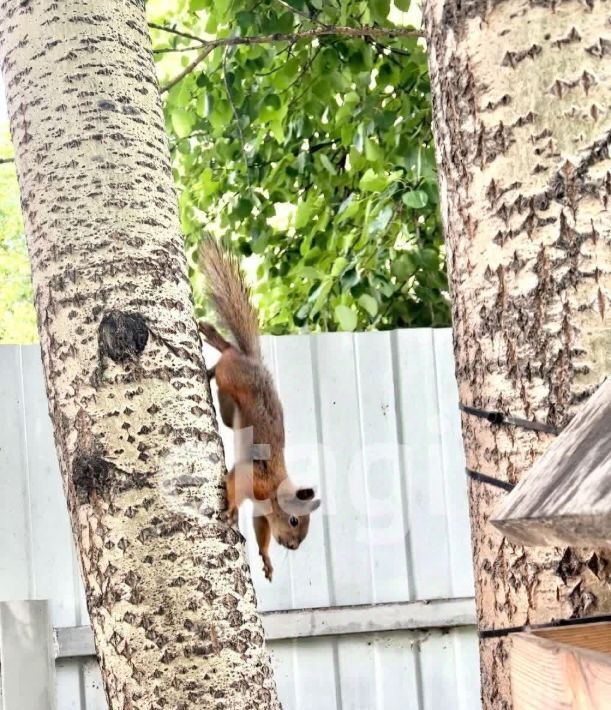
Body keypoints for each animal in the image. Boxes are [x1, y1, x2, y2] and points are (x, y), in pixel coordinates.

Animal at [198, 241, 322, 584]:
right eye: (295, 521)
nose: (292, 547)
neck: (275, 492)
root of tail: (253, 361)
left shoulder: (262, 513)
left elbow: (260, 530)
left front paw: (266, 559)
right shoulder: (253, 478)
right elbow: (233, 483)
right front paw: (231, 512)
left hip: (230, 410)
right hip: (232, 376)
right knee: (227, 355)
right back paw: (216, 348)